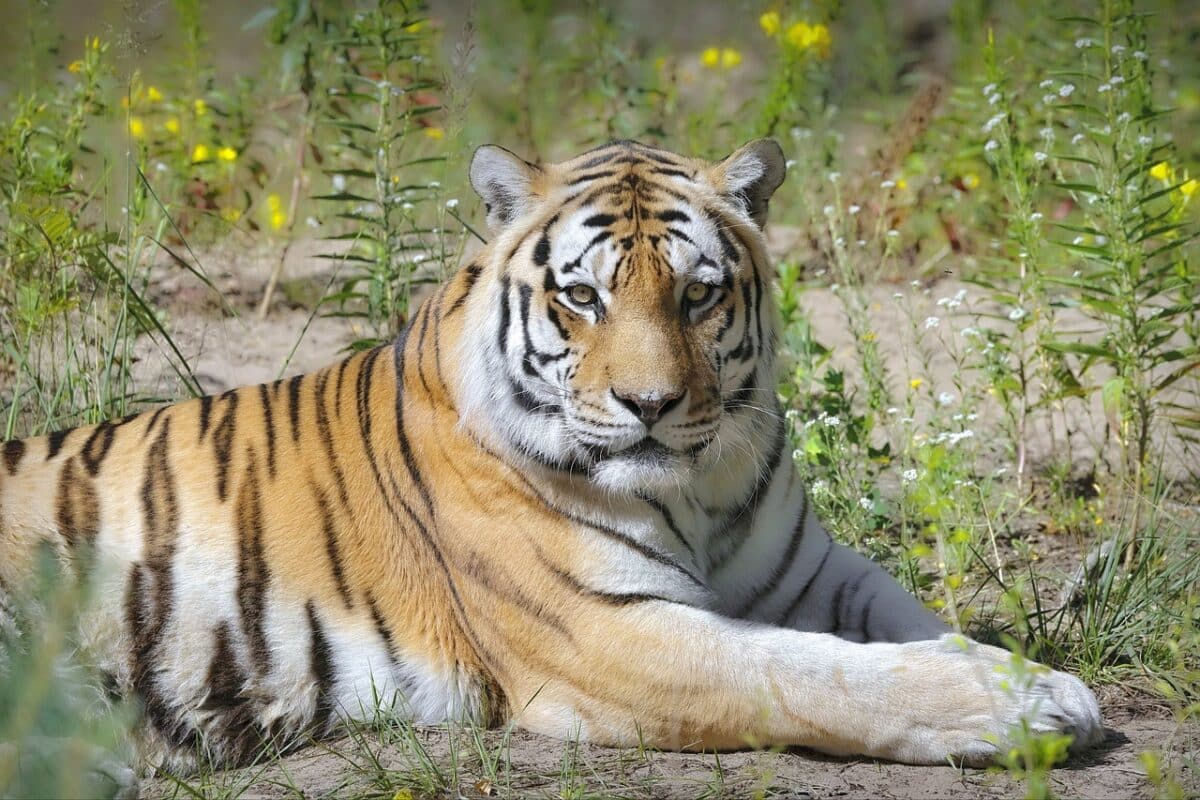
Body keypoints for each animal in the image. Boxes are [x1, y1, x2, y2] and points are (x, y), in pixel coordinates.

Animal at [0, 138, 1102, 773]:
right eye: (583, 297)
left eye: (698, 294)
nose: (651, 405)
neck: (699, 493)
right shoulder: (604, 632)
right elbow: (814, 672)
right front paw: (1023, 706)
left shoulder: (812, 571)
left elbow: (913, 624)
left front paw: (1030, 674)